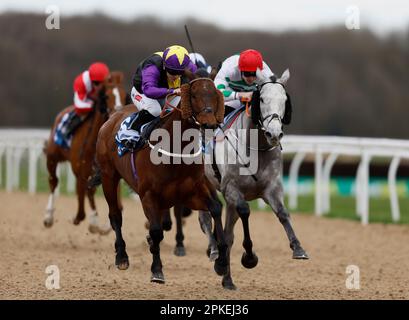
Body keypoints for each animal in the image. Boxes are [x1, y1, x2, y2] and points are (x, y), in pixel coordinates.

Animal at [43, 71, 128, 234]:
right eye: (107, 96)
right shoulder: (82, 168)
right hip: (52, 157)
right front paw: (93, 221)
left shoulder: (107, 170)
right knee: (53, 181)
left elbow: (116, 201)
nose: (118, 113)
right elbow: (87, 191)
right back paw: (49, 217)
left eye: (124, 94)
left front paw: (104, 226)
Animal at [95, 72, 230, 282]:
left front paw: (221, 261)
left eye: (214, 95)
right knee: (116, 215)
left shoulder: (191, 192)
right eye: (193, 95)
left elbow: (215, 208)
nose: (209, 123)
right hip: (109, 176)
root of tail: (111, 120)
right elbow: (157, 231)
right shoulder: (148, 195)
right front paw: (157, 270)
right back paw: (122, 257)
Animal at [198, 68, 310, 290]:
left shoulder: (271, 188)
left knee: (227, 233)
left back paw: (227, 278)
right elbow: (245, 211)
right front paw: (249, 257)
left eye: (284, 100)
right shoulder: (232, 189)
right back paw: (215, 252)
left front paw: (298, 248)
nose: (274, 134)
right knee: (208, 216)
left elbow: (283, 214)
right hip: (204, 184)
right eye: (263, 99)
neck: (255, 147)